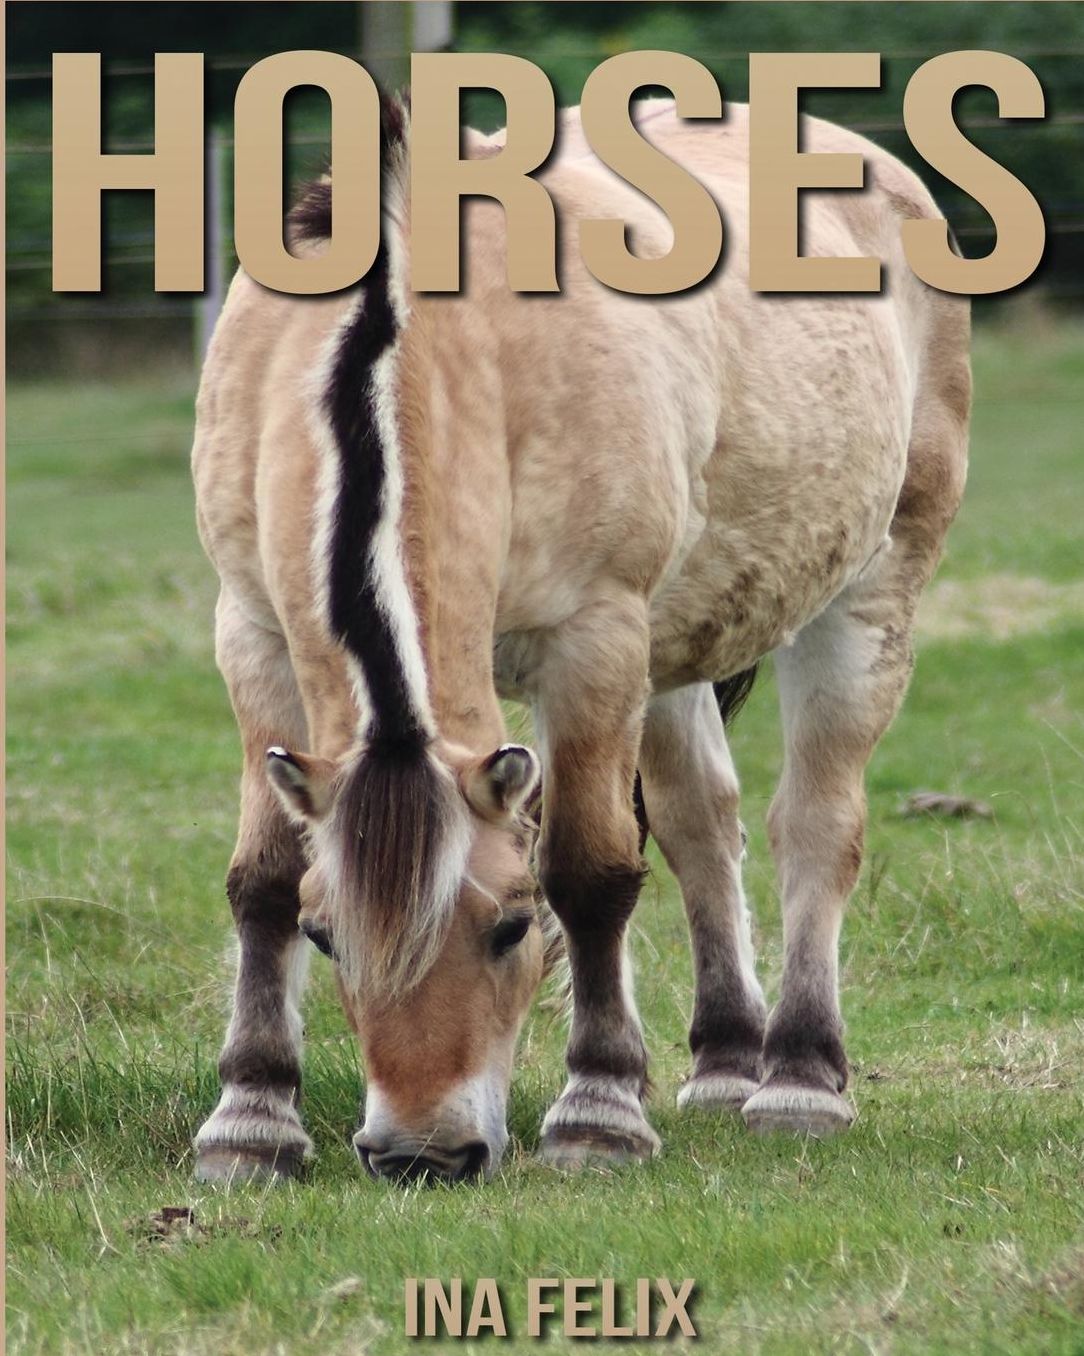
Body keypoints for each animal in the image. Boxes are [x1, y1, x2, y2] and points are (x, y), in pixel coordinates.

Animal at [190, 94, 970, 1183]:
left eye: (512, 926)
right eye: (325, 935)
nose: (422, 1155)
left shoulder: (593, 637)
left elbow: (591, 872)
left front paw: (598, 1110)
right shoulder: (256, 634)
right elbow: (257, 877)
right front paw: (251, 1119)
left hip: (869, 592)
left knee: (816, 825)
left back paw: (798, 1079)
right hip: (673, 649)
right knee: (701, 824)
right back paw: (724, 1061)